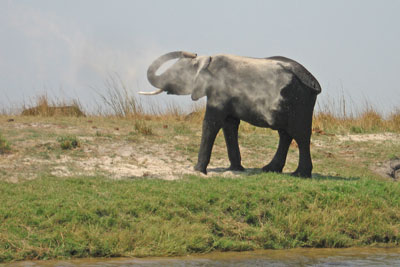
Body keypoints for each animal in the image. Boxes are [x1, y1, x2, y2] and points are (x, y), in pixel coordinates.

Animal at [139, 52, 320, 178]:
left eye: (177, 74)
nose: (191, 53)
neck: (205, 61)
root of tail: (313, 82)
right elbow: (229, 125)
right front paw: (235, 169)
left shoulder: (218, 92)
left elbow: (211, 123)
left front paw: (197, 170)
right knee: (285, 134)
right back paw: (270, 169)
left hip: (298, 101)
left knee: (300, 135)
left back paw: (300, 174)